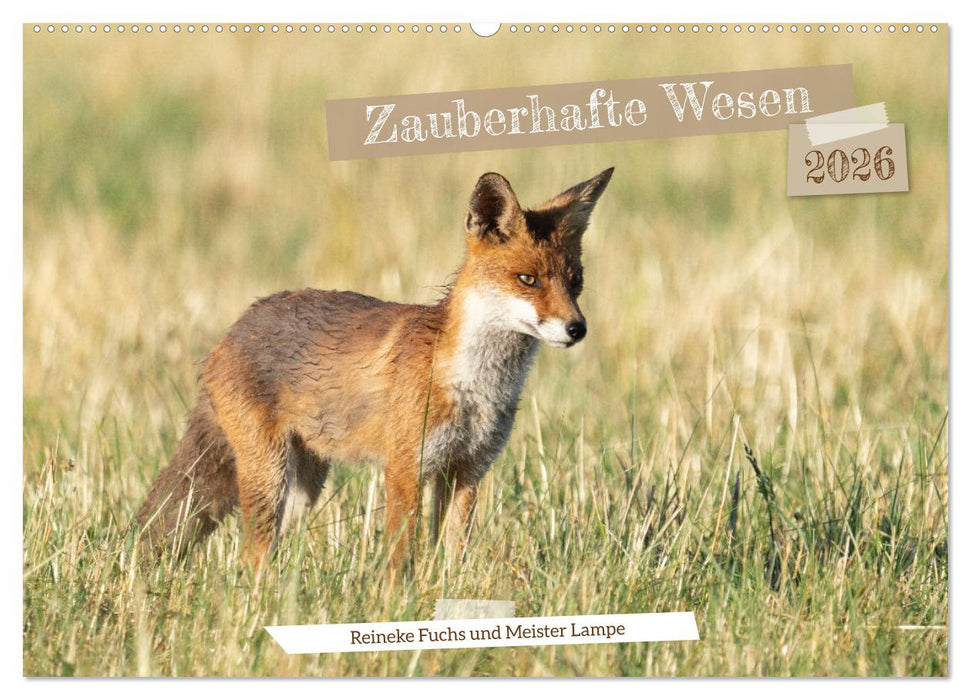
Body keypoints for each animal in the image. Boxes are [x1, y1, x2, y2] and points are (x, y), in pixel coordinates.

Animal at [135, 167, 613, 573]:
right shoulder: (404, 468)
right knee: (250, 557)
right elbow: (400, 557)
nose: (577, 328)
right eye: (528, 280)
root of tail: (230, 333)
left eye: (575, 282)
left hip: (304, 487)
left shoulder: (467, 470)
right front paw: (396, 603)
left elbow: (451, 557)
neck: (474, 386)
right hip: (269, 475)